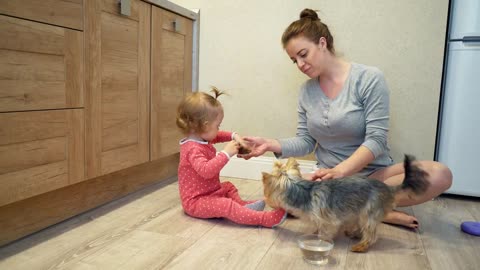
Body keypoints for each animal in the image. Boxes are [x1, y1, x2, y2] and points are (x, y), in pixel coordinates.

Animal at [260, 155, 430, 252]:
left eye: (266, 192)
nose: (266, 199)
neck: (302, 192)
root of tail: (389, 188)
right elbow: (317, 227)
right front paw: (314, 232)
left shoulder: (329, 221)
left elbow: (325, 232)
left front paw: (321, 241)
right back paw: (354, 234)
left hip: (369, 211)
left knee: (371, 234)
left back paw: (360, 247)